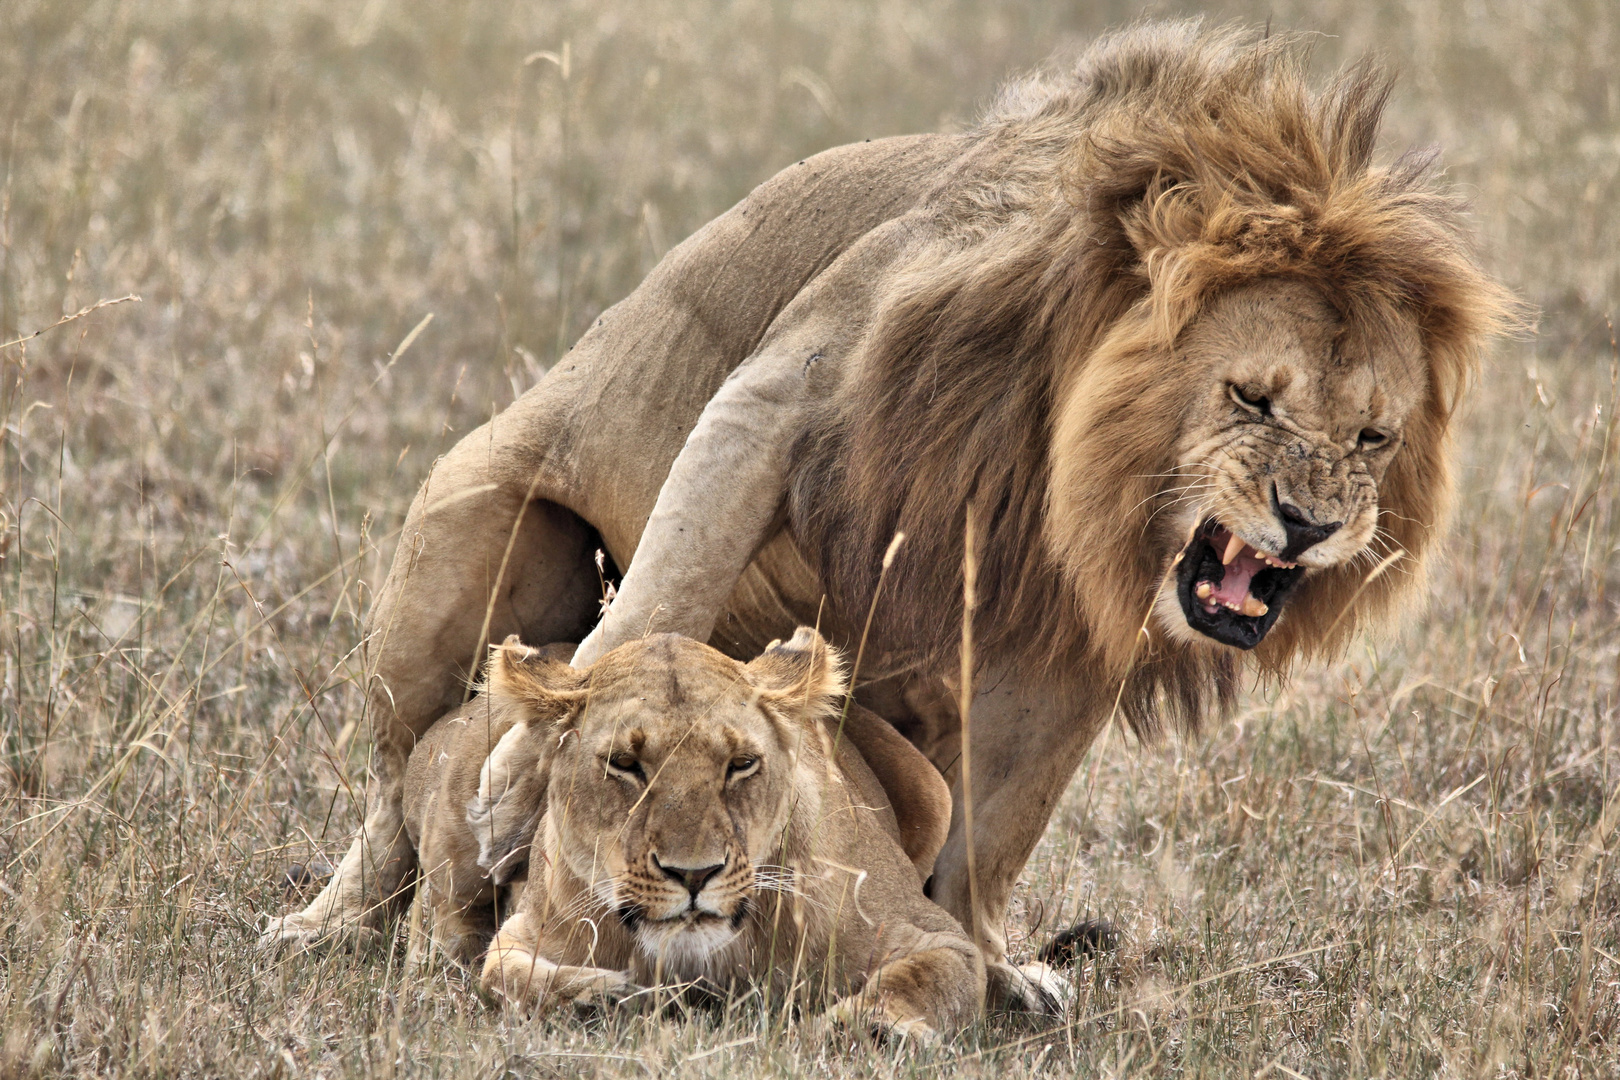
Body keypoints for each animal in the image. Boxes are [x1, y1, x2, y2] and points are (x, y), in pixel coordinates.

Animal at [463, 628, 978, 1042]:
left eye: (741, 763)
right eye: (624, 764)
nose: (694, 875)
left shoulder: (937, 936)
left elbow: (920, 980)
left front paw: (860, 1030)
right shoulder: (523, 931)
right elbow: (503, 977)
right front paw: (600, 995)